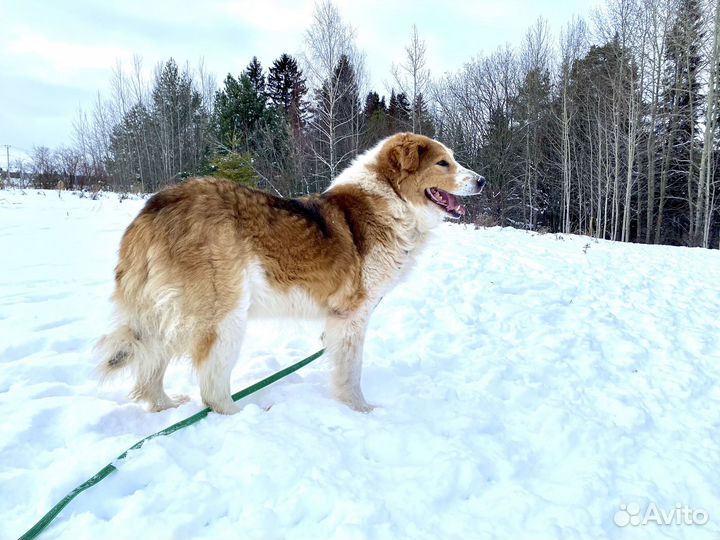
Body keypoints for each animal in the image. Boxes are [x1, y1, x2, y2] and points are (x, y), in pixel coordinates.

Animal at [95, 133, 486, 416]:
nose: (482, 180)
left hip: (170, 314)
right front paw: (359, 409)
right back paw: (241, 414)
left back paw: (163, 406)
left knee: (152, 362)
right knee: (211, 388)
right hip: (224, 316)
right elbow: (351, 371)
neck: (391, 200)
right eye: (443, 163)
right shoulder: (351, 315)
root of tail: (156, 206)